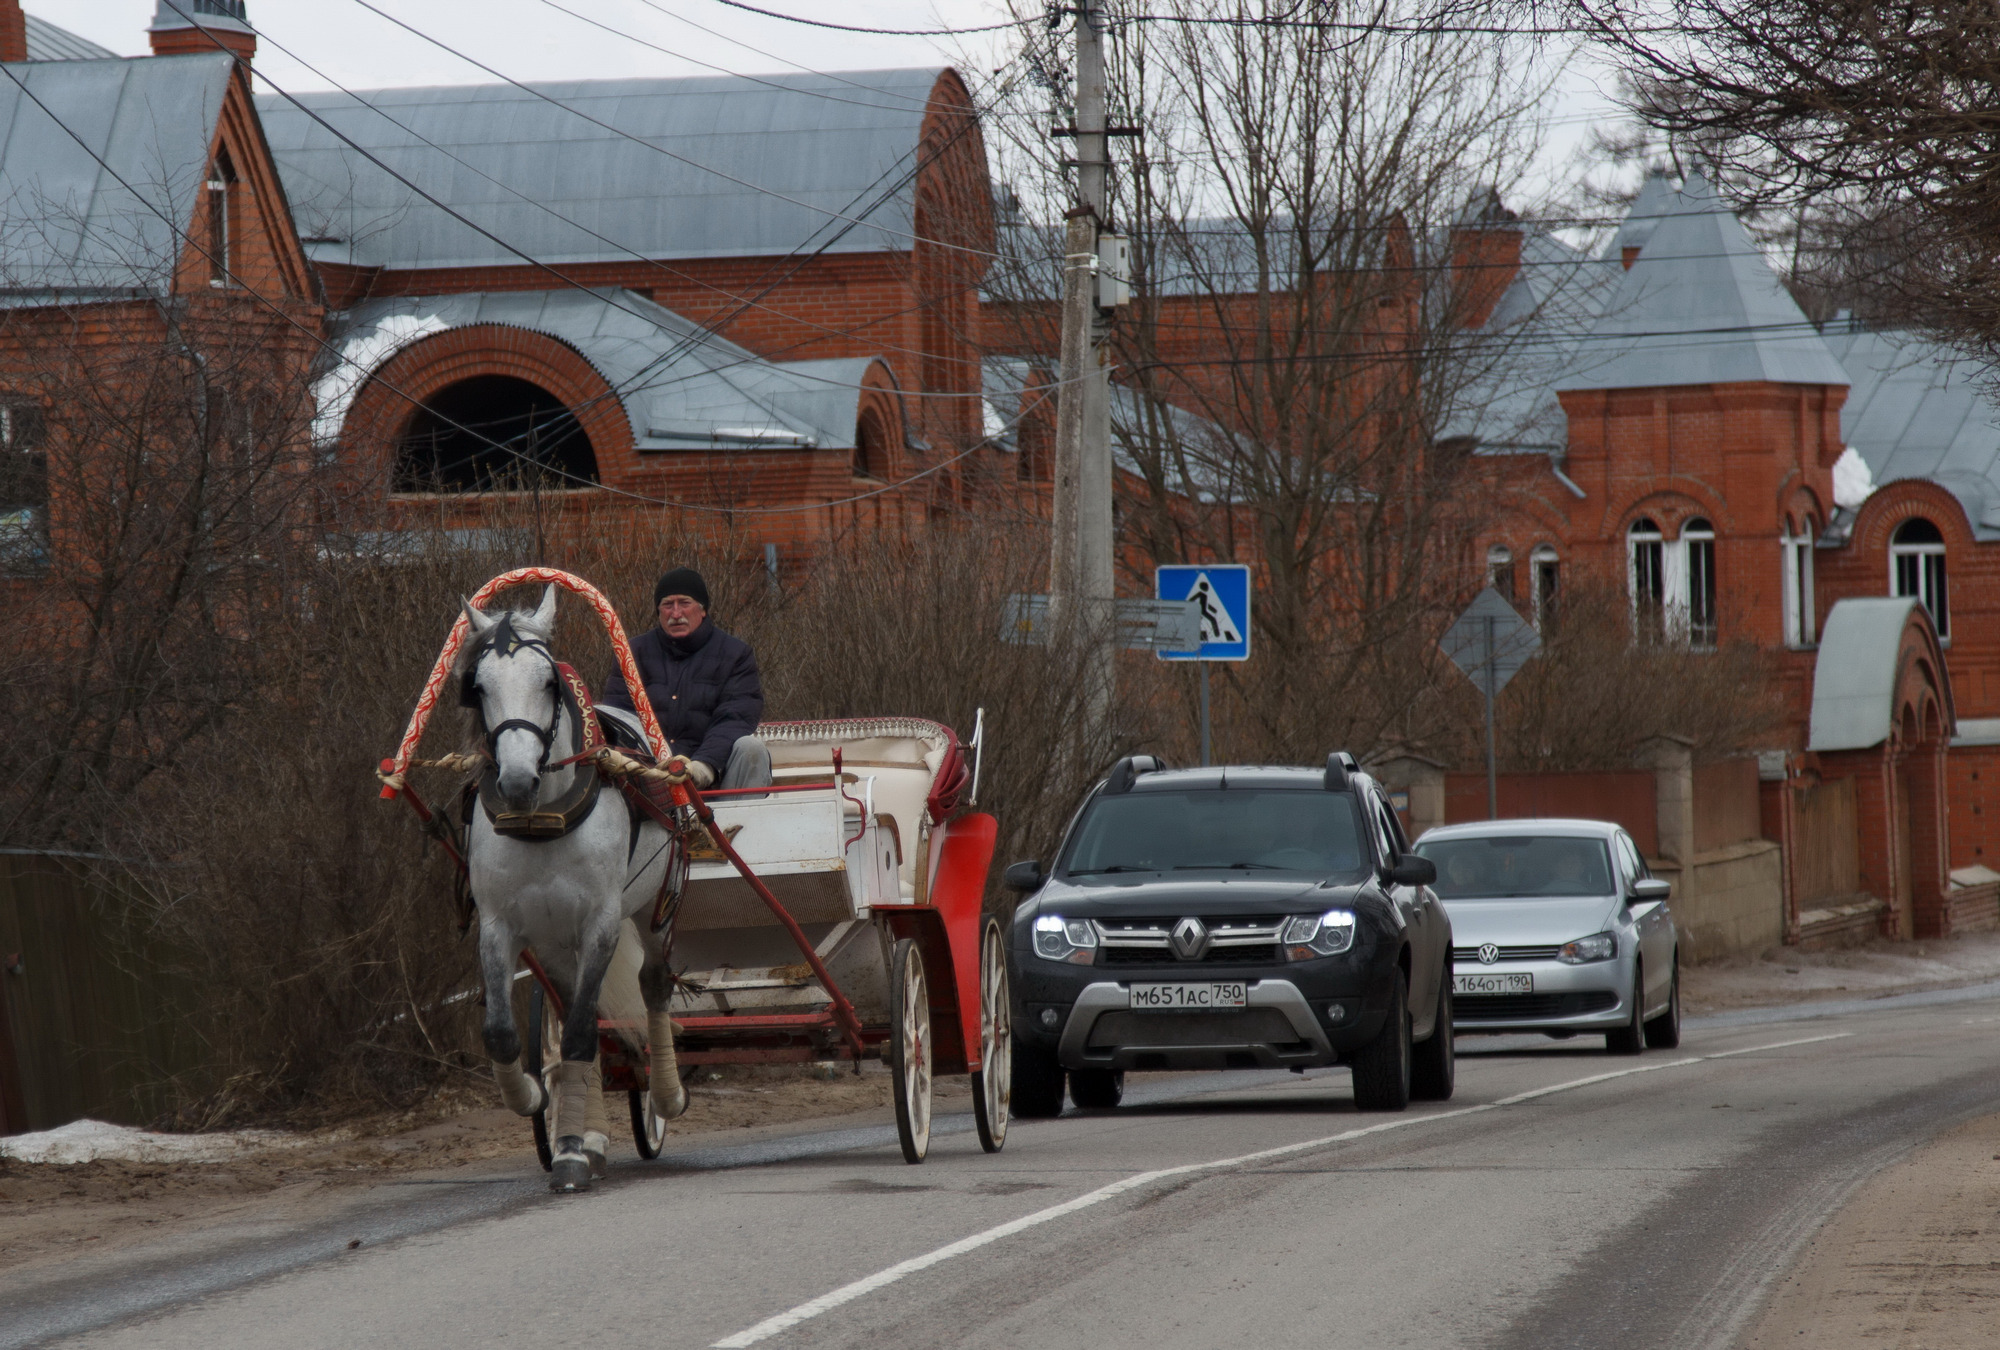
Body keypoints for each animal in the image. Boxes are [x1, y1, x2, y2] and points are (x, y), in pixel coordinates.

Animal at [460, 592, 688, 1192]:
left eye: (548, 683)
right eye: (479, 686)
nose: (517, 783)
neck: (542, 819)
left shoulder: (602, 923)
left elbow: (584, 1033)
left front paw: (569, 1151)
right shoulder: (501, 926)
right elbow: (505, 1033)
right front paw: (544, 1110)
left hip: (653, 914)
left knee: (652, 984)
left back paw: (665, 1095)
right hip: (555, 941)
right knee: (570, 1013)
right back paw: (589, 1135)